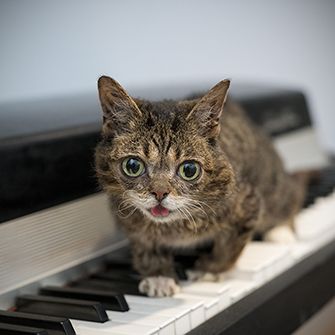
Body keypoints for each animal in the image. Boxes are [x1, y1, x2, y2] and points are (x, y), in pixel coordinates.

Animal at [95, 75, 308, 296]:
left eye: (189, 170)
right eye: (133, 166)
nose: (160, 192)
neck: (174, 226)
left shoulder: (247, 204)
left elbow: (229, 246)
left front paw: (209, 270)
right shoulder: (127, 220)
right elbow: (145, 247)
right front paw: (159, 276)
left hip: (272, 184)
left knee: (291, 193)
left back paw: (280, 232)